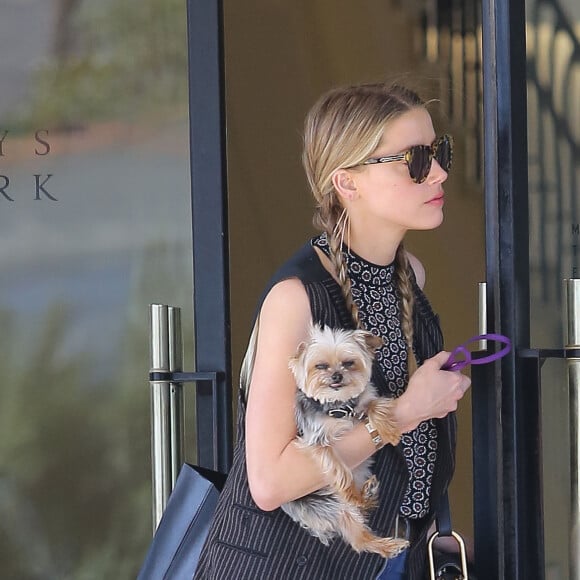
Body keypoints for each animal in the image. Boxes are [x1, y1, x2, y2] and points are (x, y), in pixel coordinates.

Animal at [282, 324, 408, 556]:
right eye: (321, 366)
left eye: (349, 363)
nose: (337, 376)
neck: (339, 407)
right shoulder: (317, 440)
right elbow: (337, 467)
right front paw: (349, 490)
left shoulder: (363, 403)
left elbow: (376, 405)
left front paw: (389, 431)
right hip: (328, 504)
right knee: (356, 530)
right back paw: (360, 501)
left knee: (360, 532)